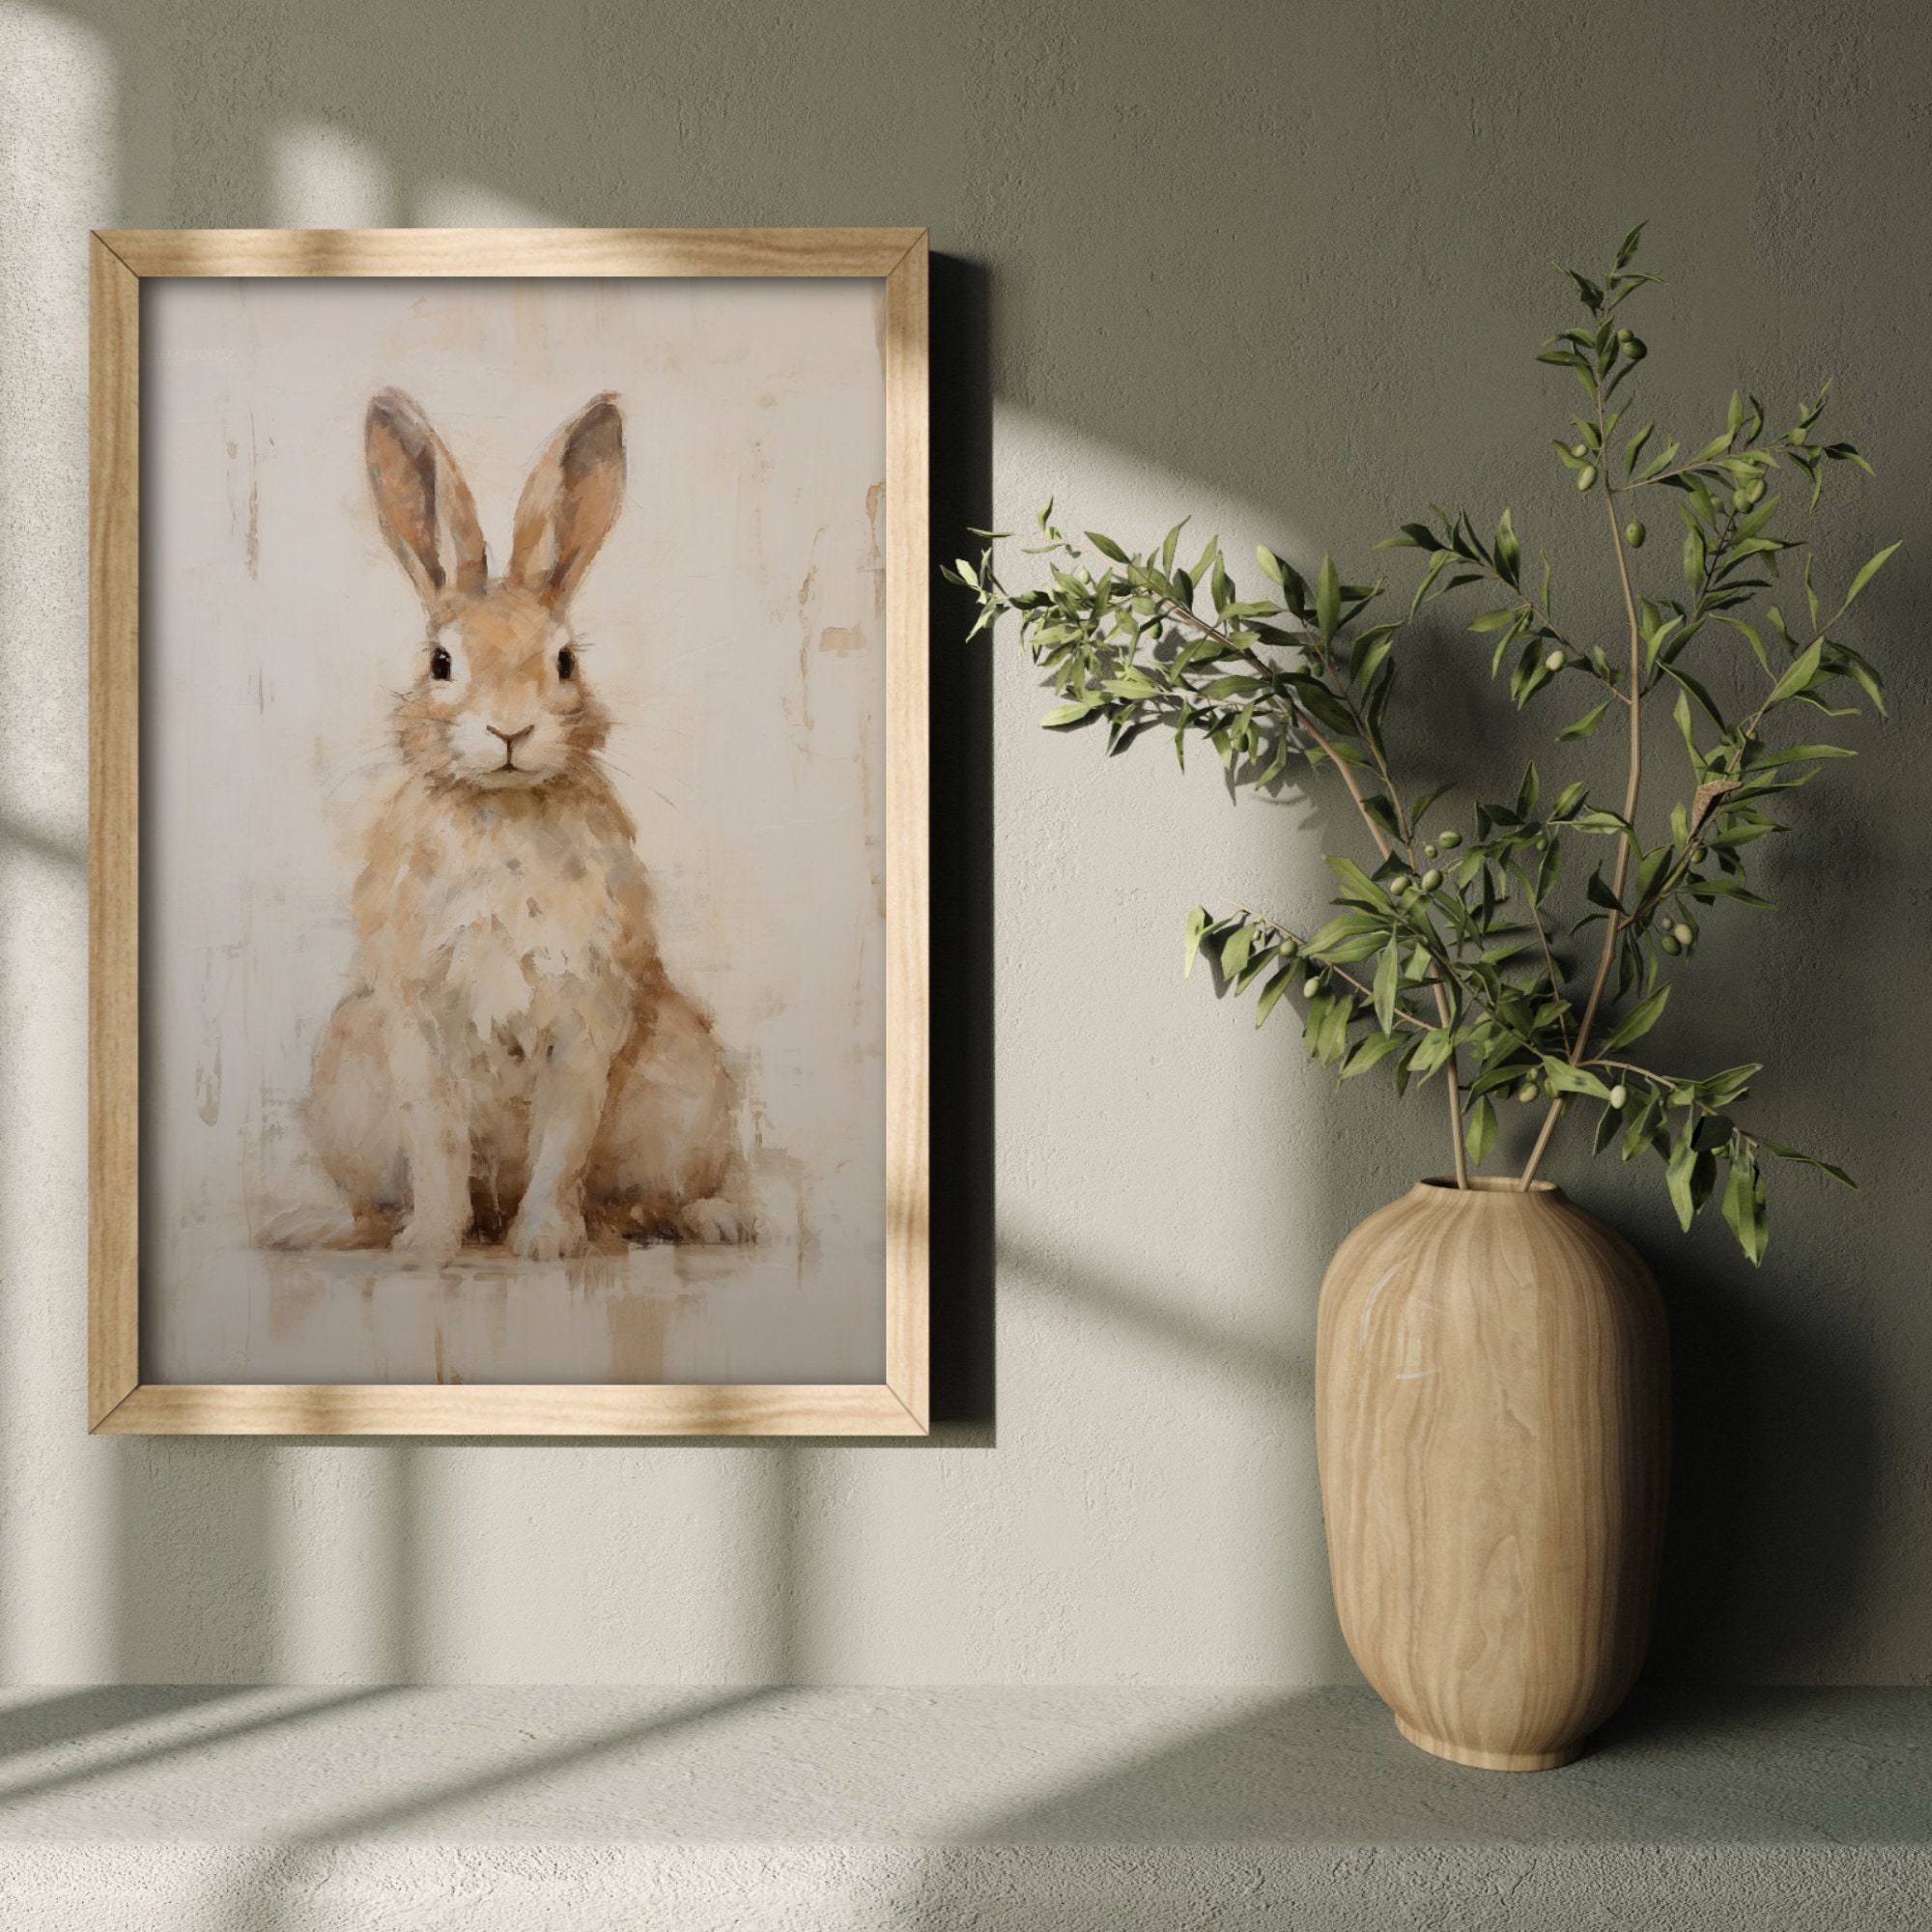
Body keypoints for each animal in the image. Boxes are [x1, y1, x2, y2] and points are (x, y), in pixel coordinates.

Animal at [287, 387, 751, 1264]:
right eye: (440, 663)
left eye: (565, 662)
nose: (510, 730)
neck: (501, 807)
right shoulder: (416, 1026)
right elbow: (436, 1141)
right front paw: (431, 1246)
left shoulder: (584, 1022)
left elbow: (563, 1143)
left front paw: (545, 1244)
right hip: (346, 1078)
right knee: (378, 1198)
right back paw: (326, 1227)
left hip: (688, 1084)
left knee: (643, 1202)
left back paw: (712, 1221)